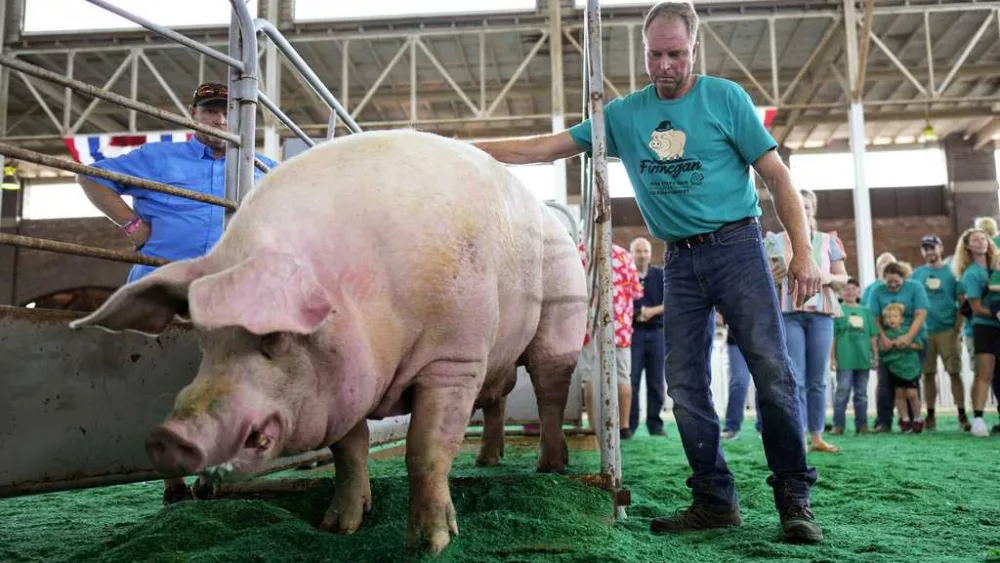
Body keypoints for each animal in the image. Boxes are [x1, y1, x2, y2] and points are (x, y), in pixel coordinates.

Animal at [72, 130, 584, 556]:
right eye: (204, 335)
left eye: (274, 335)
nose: (167, 436)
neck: (372, 296)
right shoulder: (344, 385)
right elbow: (349, 451)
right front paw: (338, 528)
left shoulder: (453, 358)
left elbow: (425, 450)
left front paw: (430, 545)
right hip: (498, 361)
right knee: (498, 398)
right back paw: (487, 458)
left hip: (561, 320)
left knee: (550, 391)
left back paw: (551, 468)